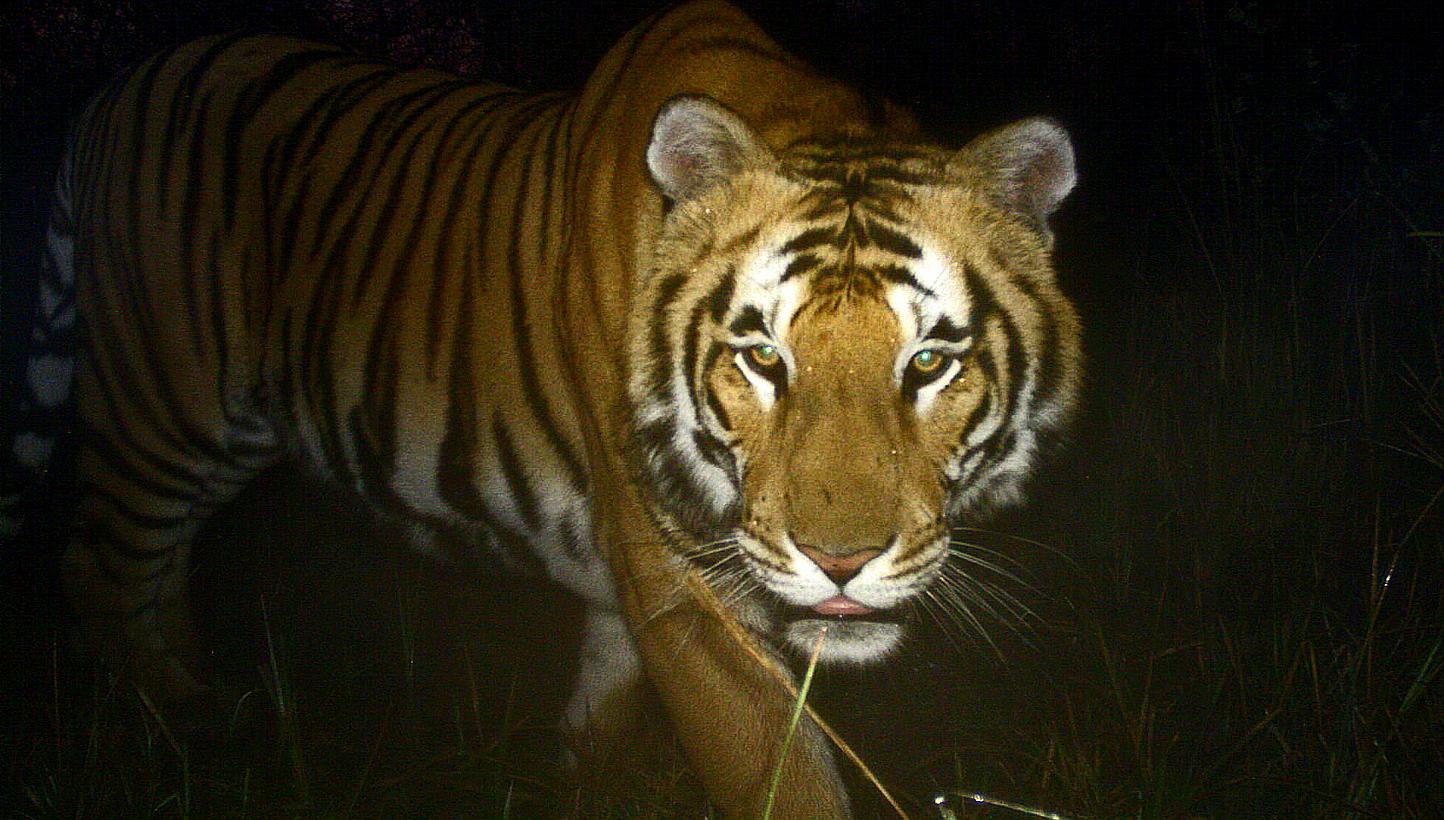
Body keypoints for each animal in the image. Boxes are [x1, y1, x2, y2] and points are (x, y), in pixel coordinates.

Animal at [4, 1, 1081, 815]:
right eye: (761, 358)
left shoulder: (635, 587)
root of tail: (118, 87)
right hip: (165, 406)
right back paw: (184, 735)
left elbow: (603, 707)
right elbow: (778, 777)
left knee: (158, 572)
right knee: (95, 567)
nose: (842, 562)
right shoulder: (684, 585)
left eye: (929, 361)